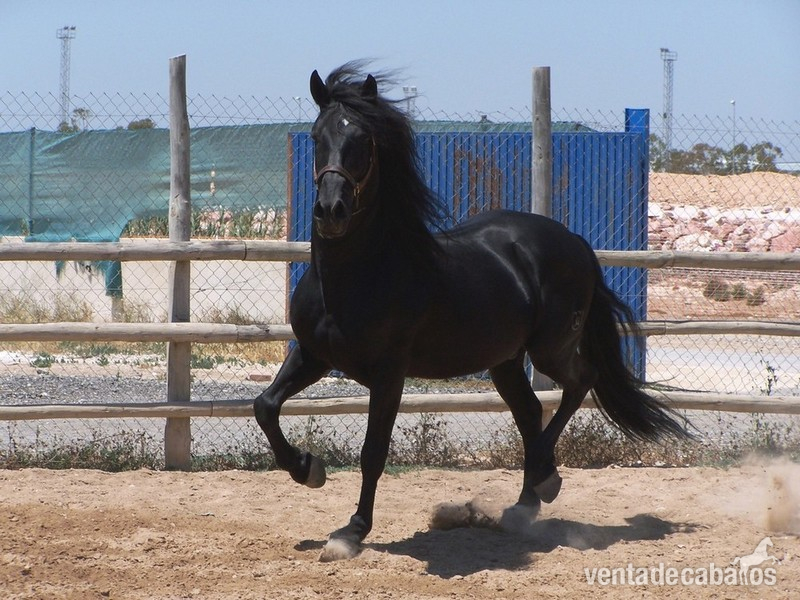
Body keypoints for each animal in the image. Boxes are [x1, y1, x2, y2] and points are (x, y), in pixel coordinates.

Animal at [254, 62, 690, 562]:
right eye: (315, 136)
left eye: (363, 139)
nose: (331, 211)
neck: (356, 277)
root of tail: (575, 242)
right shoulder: (313, 355)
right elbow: (265, 405)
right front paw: (308, 468)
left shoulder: (389, 373)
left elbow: (373, 451)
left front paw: (351, 532)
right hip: (504, 361)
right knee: (530, 410)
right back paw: (526, 502)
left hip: (549, 349)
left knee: (581, 381)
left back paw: (544, 477)